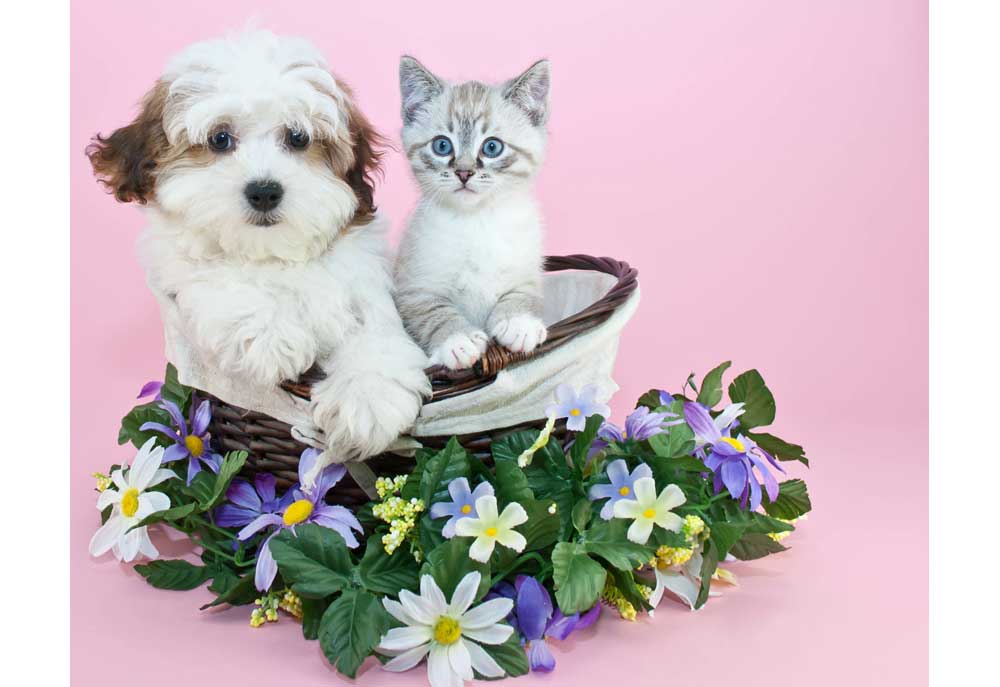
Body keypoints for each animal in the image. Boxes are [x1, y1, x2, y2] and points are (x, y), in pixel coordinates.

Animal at [87, 28, 430, 468]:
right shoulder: (179, 263)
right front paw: (272, 334)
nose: (264, 191)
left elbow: (374, 331)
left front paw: (368, 399)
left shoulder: (362, 283)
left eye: (298, 138)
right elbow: (219, 277)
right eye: (219, 139)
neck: (273, 255)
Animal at [392, 56, 552, 370]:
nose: (464, 172)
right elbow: (433, 312)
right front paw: (457, 339)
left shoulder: (529, 272)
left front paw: (519, 323)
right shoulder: (413, 288)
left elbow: (523, 295)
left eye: (492, 147)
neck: (477, 221)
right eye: (442, 145)